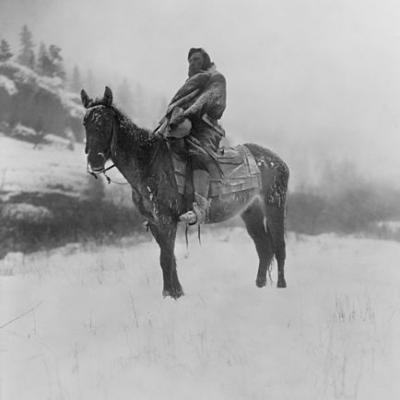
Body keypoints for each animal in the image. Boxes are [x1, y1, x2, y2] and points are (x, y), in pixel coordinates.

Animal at [81, 88, 290, 300]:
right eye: (85, 123)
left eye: (105, 123)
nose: (95, 162)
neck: (148, 163)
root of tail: (278, 161)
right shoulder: (155, 222)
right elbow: (169, 257)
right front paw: (175, 292)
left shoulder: (166, 220)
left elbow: (165, 258)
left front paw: (170, 295)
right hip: (250, 211)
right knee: (263, 247)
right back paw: (260, 286)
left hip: (274, 204)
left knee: (279, 246)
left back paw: (281, 286)